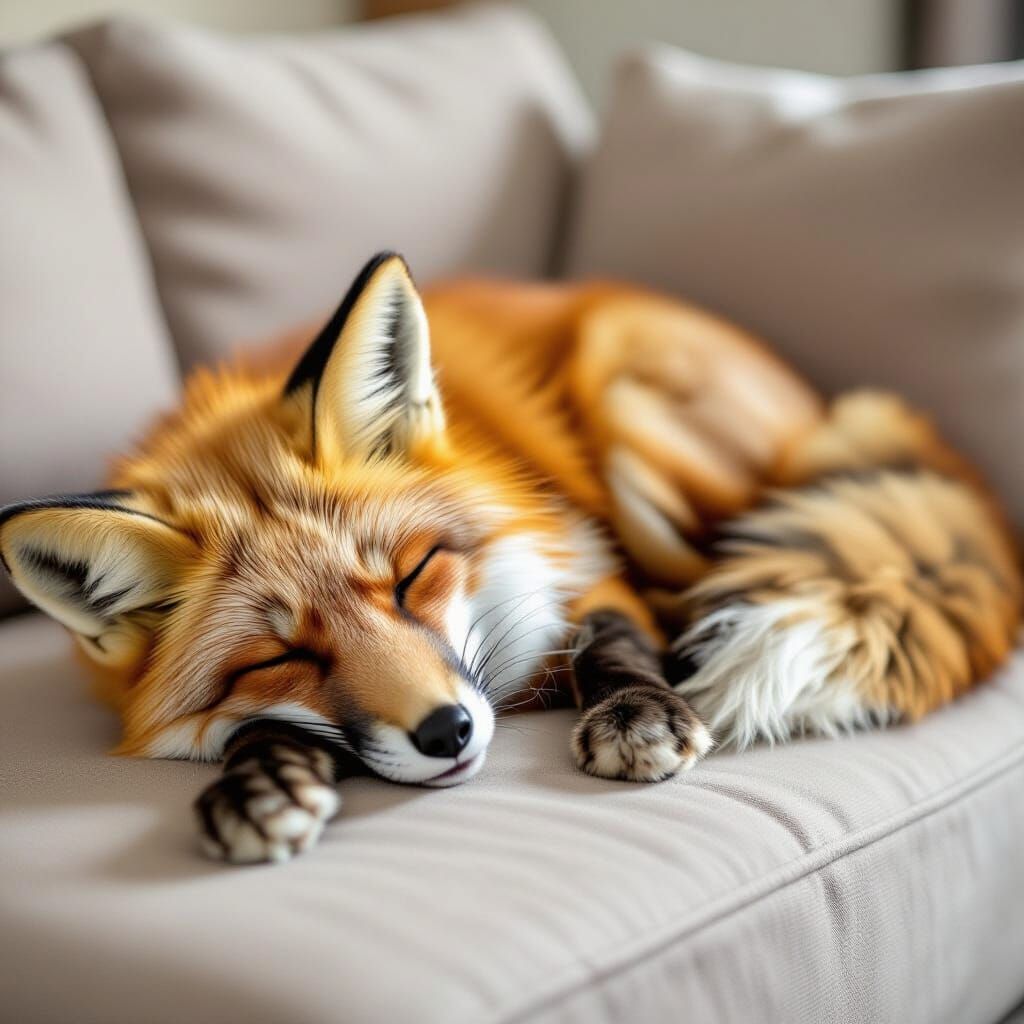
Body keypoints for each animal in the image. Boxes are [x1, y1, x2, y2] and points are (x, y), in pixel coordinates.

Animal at [1, 252, 1020, 863]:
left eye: (412, 577)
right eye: (281, 657)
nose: (448, 732)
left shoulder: (584, 561)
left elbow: (612, 638)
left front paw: (635, 711)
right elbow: (258, 730)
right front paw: (259, 783)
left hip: (630, 424)